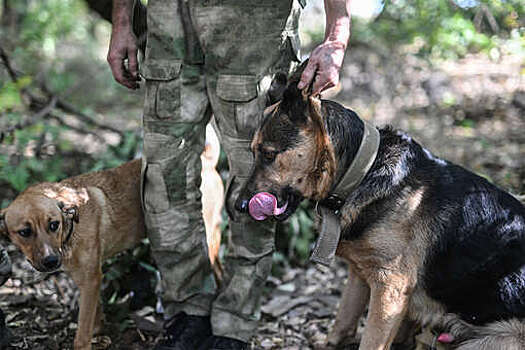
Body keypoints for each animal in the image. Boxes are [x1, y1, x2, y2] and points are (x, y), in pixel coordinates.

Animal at [236, 63, 524, 350]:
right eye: (253, 152)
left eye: (269, 154)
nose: (238, 206)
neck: (364, 170)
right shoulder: (360, 274)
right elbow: (343, 321)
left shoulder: (389, 288)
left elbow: (370, 340)